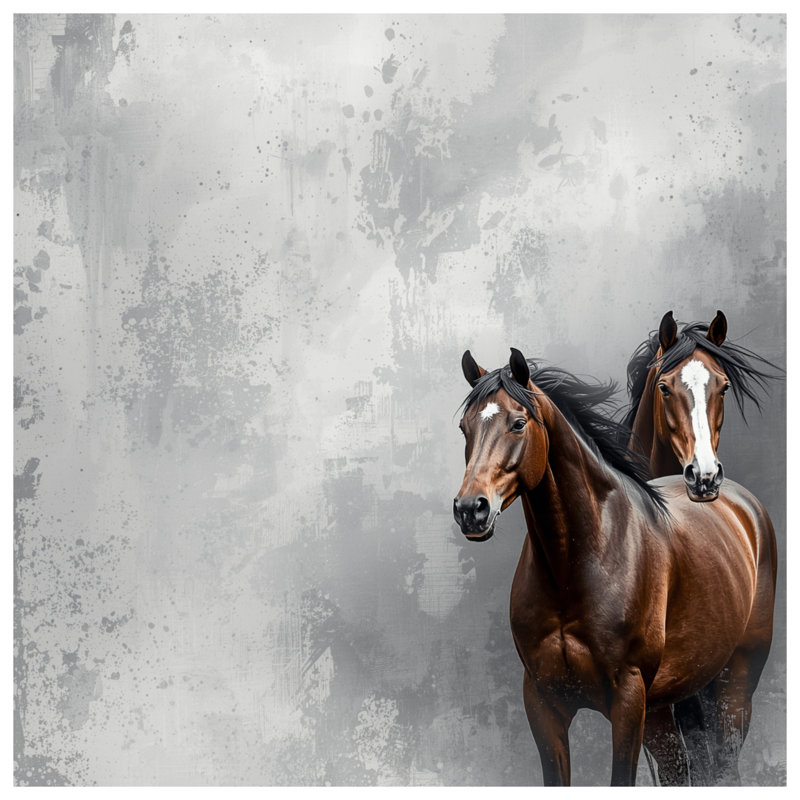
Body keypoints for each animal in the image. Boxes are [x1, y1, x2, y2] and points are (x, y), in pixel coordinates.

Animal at [452, 348, 777, 786]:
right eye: (464, 427)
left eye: (518, 423)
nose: (471, 509)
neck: (572, 568)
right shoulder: (543, 702)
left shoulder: (627, 702)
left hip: (735, 685)